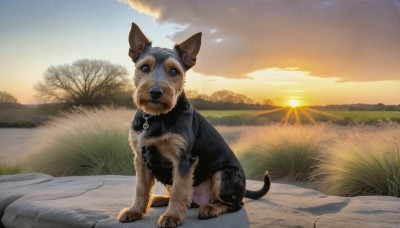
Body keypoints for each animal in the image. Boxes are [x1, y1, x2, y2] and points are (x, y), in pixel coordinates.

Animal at [117, 21, 270, 228]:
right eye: (145, 68)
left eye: (174, 71)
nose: (156, 92)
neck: (155, 118)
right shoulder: (140, 158)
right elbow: (141, 189)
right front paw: (134, 211)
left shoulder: (183, 160)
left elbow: (179, 190)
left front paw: (172, 216)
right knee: (189, 200)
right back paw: (161, 199)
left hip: (224, 174)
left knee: (232, 204)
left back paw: (210, 208)